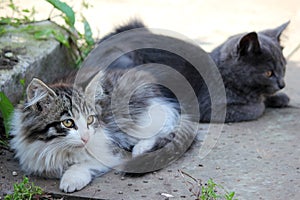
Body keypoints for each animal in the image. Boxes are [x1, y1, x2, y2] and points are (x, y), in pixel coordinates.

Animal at [97, 19, 290, 122]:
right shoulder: (212, 107)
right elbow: (256, 108)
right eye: (268, 73)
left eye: (284, 67)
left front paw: (280, 98)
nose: (282, 84)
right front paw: (266, 102)